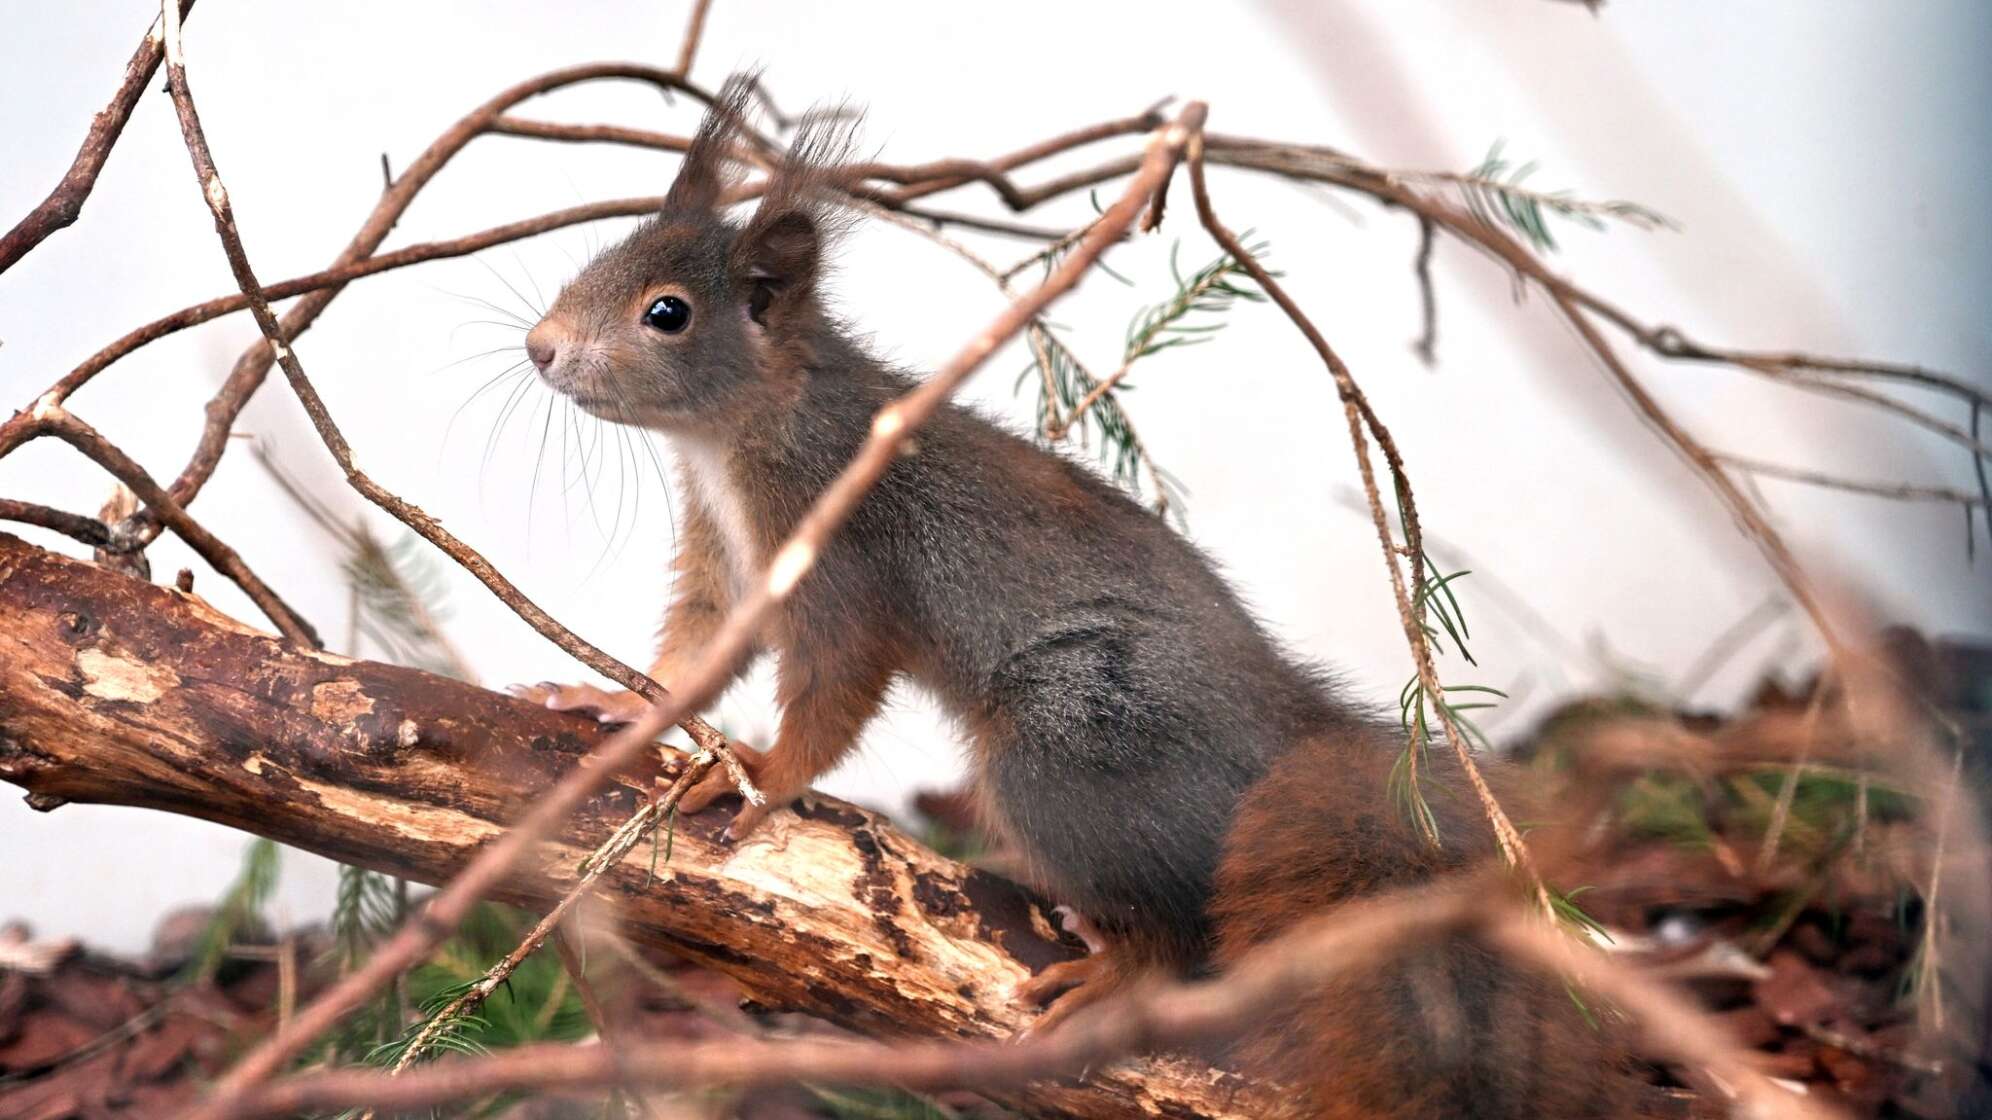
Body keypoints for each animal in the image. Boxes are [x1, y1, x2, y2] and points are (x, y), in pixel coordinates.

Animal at [521, 74, 1641, 1108]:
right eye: (594, 259)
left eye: (667, 314)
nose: (539, 348)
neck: (735, 438)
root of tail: (1282, 735)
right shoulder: (728, 561)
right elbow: (697, 654)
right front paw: (615, 707)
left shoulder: (842, 556)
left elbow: (834, 690)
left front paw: (760, 773)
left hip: (1071, 747)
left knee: (1183, 934)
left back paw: (1117, 972)